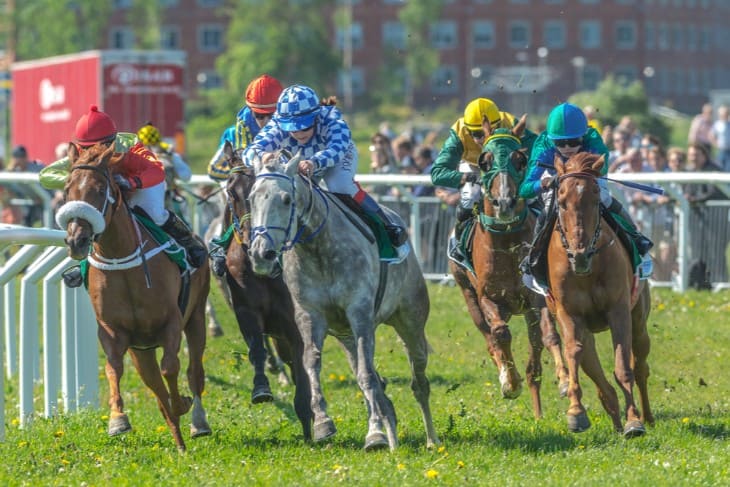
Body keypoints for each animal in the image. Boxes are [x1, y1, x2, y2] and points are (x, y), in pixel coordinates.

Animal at [56, 143, 210, 452]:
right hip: (142, 350)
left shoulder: (171, 322)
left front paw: (183, 404)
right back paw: (178, 442)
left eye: (99, 189)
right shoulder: (113, 331)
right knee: (155, 387)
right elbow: (113, 369)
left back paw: (198, 422)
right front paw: (117, 420)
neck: (120, 258)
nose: (76, 240)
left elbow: (171, 368)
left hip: (196, 315)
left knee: (194, 371)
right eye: (67, 189)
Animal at [222, 142, 312, 442]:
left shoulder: (294, 320)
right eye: (232, 191)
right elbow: (256, 350)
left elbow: (301, 363)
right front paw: (261, 388)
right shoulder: (245, 309)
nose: (256, 247)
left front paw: (310, 417)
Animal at [245, 152, 438, 450]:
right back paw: (392, 433)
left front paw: (374, 433)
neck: (318, 249)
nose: (260, 254)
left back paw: (431, 439)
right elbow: (312, 363)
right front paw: (323, 423)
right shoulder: (309, 314)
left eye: (286, 199)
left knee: (418, 381)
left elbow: (368, 375)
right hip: (345, 335)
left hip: (411, 321)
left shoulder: (359, 311)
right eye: (252, 198)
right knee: (369, 377)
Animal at [446, 119, 564, 420]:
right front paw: (509, 382)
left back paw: (538, 411)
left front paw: (565, 380)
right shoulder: (487, 296)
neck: (506, 241)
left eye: (520, 159)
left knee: (534, 350)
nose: (505, 202)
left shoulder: (535, 297)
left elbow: (548, 334)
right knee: (490, 336)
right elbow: (500, 334)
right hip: (467, 293)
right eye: (484, 161)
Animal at [544, 153, 656, 438]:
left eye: (595, 200)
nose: (580, 256)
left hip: (639, 317)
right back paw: (613, 415)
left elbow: (623, 366)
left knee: (640, 364)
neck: (588, 271)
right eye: (562, 202)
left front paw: (634, 421)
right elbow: (574, 352)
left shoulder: (618, 310)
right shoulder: (568, 313)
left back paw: (646, 417)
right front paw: (576, 412)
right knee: (592, 367)